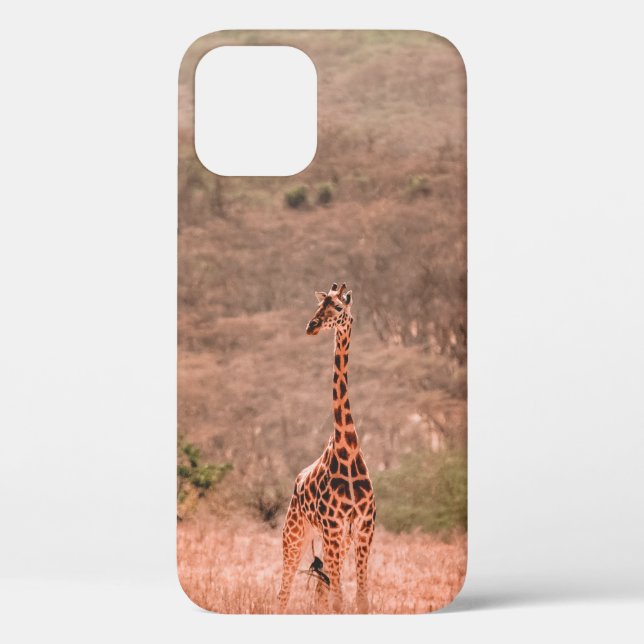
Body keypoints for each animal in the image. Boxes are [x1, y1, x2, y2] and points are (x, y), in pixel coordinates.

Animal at [277, 282, 376, 614]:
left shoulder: (363, 528)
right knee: (283, 592)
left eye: (338, 308)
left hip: (335, 540)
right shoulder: (333, 526)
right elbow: (340, 600)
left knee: (321, 591)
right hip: (294, 534)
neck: (348, 450)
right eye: (320, 305)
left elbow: (360, 600)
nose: (312, 325)